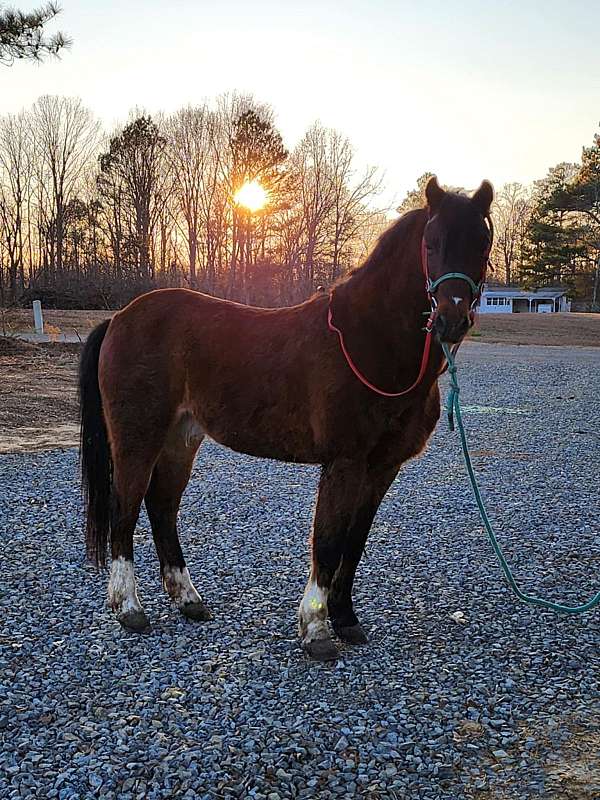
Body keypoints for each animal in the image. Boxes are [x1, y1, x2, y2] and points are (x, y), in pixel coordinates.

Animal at [78, 177, 492, 664]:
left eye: (482, 242)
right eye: (431, 243)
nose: (451, 319)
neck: (368, 344)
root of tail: (119, 318)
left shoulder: (383, 467)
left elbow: (355, 541)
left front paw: (346, 619)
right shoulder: (344, 461)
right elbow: (328, 541)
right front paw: (316, 628)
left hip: (181, 439)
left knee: (161, 507)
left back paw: (188, 601)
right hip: (137, 438)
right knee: (124, 509)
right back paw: (129, 608)